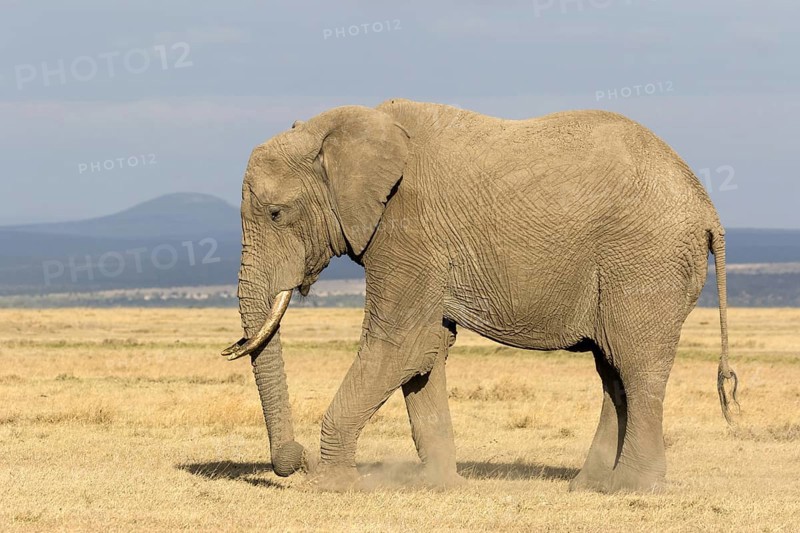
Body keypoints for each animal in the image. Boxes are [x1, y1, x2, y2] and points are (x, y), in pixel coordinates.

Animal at [221, 99, 738, 493]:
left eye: (276, 213)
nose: (295, 459)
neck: (342, 128)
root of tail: (708, 209)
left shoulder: (408, 231)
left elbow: (399, 344)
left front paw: (333, 486)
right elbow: (426, 350)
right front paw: (435, 486)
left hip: (645, 261)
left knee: (635, 365)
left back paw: (631, 488)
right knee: (613, 370)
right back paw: (589, 485)